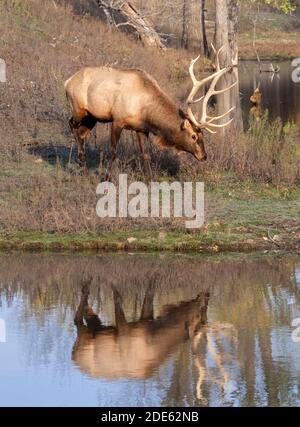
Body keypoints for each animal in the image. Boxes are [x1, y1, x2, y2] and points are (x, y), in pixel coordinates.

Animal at [65, 46, 237, 179]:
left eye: (203, 135)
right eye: (194, 136)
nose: (204, 156)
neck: (145, 111)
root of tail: (67, 81)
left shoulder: (141, 128)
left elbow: (146, 155)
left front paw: (151, 180)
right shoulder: (118, 120)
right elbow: (113, 151)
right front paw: (106, 179)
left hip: (92, 117)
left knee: (81, 133)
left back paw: (83, 167)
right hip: (79, 109)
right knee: (71, 124)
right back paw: (82, 165)